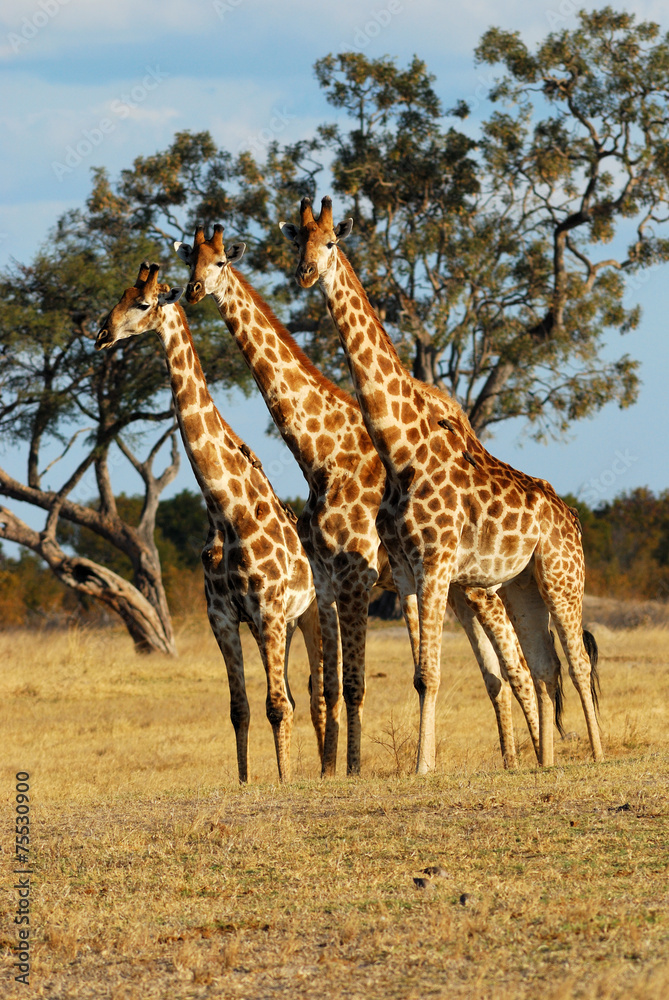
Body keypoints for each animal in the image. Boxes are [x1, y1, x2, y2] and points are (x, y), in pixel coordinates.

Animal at [95, 261, 327, 783]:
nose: (101, 334)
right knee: (300, 693)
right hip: (284, 624)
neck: (225, 510)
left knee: (318, 695)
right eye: (118, 296)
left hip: (311, 615)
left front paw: (285, 781)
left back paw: (328, 769)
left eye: (143, 303)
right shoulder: (223, 617)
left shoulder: (269, 611)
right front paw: (245, 781)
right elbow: (240, 708)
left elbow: (278, 706)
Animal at [174, 224, 540, 774]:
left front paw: (349, 768)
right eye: (189, 261)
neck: (323, 443)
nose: (193, 291)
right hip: (453, 584)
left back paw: (532, 755)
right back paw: (513, 759)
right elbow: (328, 686)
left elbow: (348, 684)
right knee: (492, 666)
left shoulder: (353, 579)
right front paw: (332, 770)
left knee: (513, 657)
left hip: (472, 581)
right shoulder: (329, 581)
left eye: (219, 261)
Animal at [281, 196, 602, 772]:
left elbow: (432, 673)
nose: (306, 273)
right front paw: (424, 762)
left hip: (561, 576)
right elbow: (420, 674)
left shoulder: (434, 564)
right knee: (545, 665)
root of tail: (572, 518)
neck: (400, 453)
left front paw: (421, 766)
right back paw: (548, 760)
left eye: (332, 241)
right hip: (521, 583)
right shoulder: (409, 572)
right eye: (299, 240)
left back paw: (597, 753)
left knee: (576, 660)